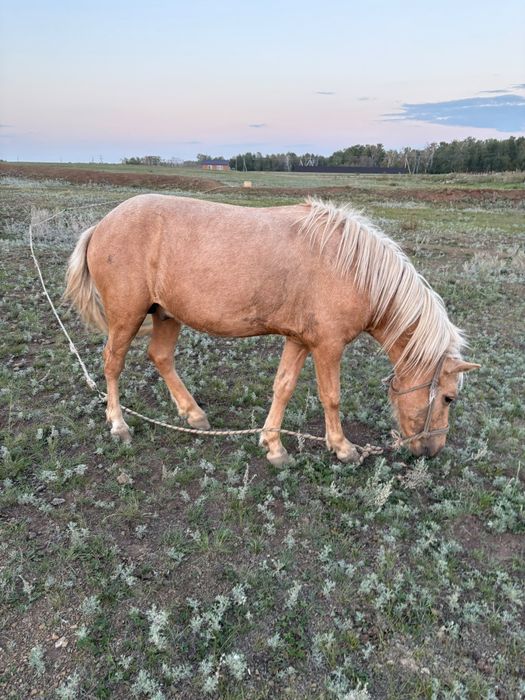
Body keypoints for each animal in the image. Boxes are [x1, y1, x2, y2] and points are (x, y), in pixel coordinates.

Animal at [64, 194, 479, 465]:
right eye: (449, 398)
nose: (433, 451)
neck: (352, 268)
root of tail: (102, 224)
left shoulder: (299, 341)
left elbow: (283, 387)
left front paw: (273, 445)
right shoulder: (328, 346)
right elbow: (331, 396)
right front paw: (343, 448)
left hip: (165, 314)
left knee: (160, 357)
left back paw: (193, 414)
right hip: (127, 316)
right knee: (112, 363)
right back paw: (118, 425)